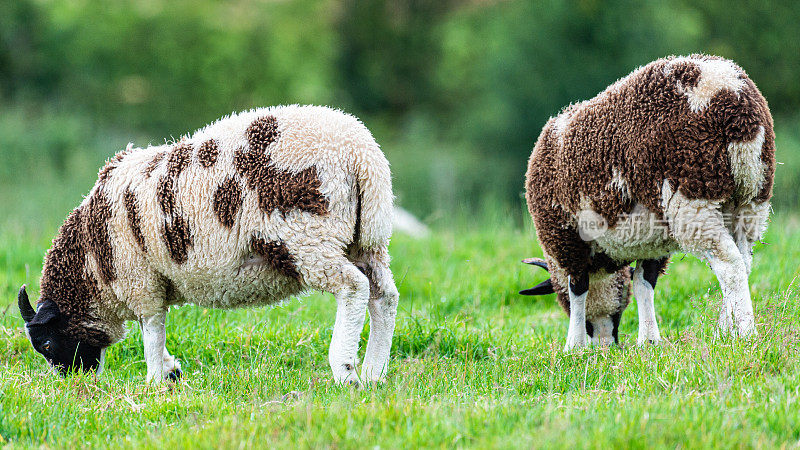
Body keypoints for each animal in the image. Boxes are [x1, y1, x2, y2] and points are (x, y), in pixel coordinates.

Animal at [20, 103, 400, 384]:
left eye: (47, 343)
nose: (73, 382)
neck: (93, 261)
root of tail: (363, 155)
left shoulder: (140, 280)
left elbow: (151, 330)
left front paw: (155, 381)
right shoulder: (152, 281)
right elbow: (155, 331)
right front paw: (171, 370)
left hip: (307, 235)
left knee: (353, 287)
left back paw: (346, 371)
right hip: (366, 242)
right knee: (384, 295)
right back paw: (374, 373)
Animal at [520, 55, 776, 352]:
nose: (607, 347)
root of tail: (729, 88)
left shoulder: (564, 237)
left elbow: (578, 288)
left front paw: (573, 346)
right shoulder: (652, 239)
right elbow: (644, 282)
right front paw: (649, 340)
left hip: (693, 196)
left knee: (729, 265)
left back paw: (745, 333)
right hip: (751, 197)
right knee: (744, 261)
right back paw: (724, 330)